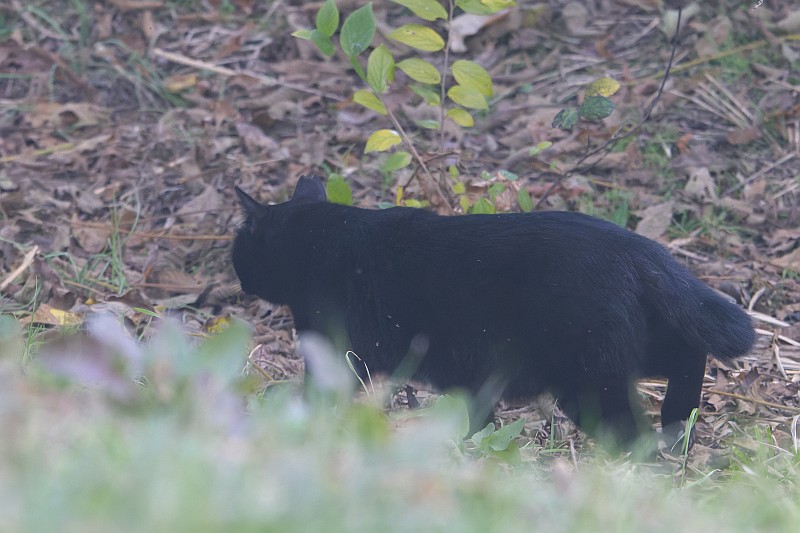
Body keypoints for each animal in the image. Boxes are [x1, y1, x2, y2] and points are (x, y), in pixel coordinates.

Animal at [232, 175, 755, 449]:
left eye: (238, 247)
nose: (237, 274)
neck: (324, 237)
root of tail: (638, 247)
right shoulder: (472, 374)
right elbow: (479, 415)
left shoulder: (335, 352)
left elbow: (317, 397)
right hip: (621, 354)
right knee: (688, 352)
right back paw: (679, 420)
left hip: (589, 379)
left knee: (632, 431)